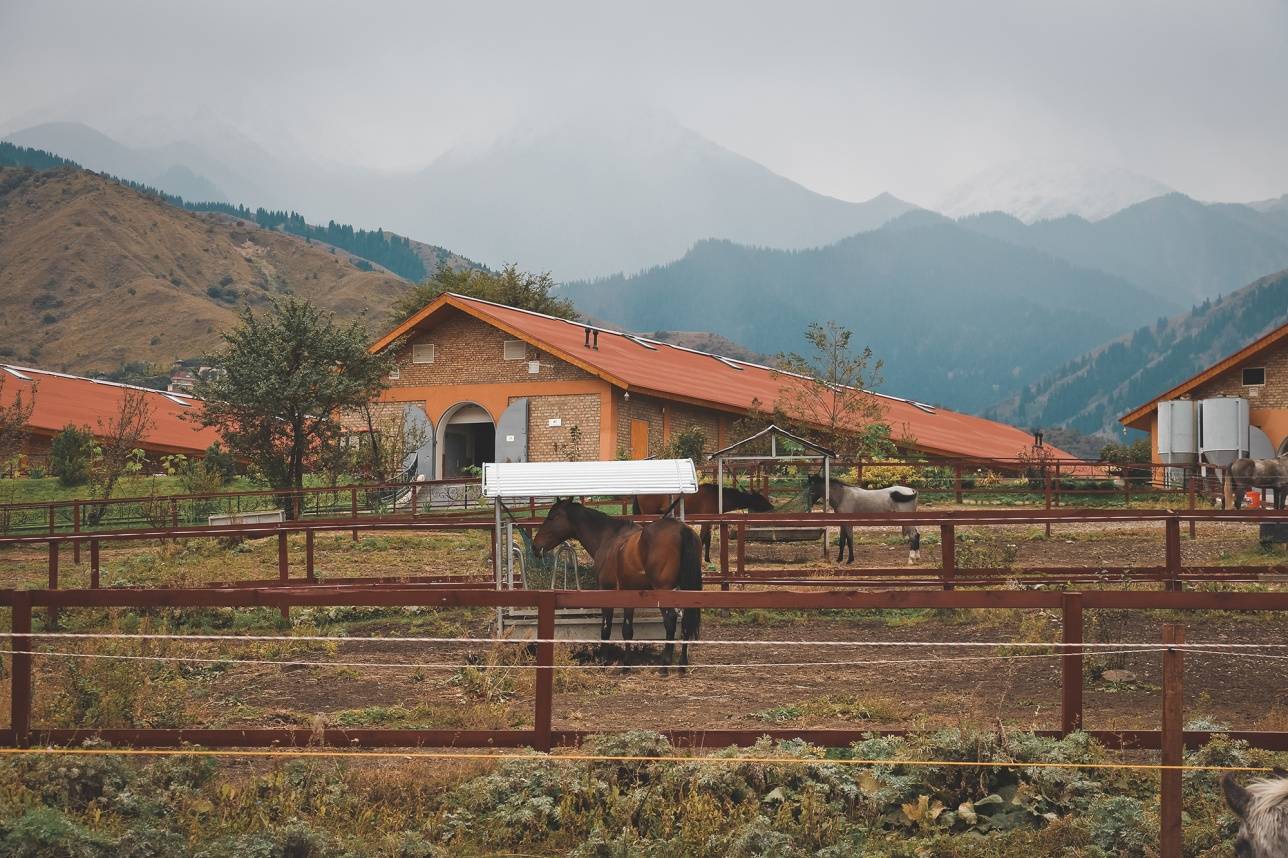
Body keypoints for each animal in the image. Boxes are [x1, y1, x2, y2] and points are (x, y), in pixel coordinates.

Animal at [530, 494, 705, 669]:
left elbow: (606, 628)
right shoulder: (630, 593)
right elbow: (627, 630)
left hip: (663, 592)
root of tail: (682, 529)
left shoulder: (606, 591)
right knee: (686, 622)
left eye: (552, 517)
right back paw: (682, 663)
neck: (608, 538)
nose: (535, 546)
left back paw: (665, 664)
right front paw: (626, 664)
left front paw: (604, 660)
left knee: (671, 620)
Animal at [636, 481, 772, 561]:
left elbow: (708, 539)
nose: (771, 506)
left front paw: (707, 558)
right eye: (760, 498)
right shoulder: (705, 520)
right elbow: (702, 538)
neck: (717, 496)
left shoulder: (709, 520)